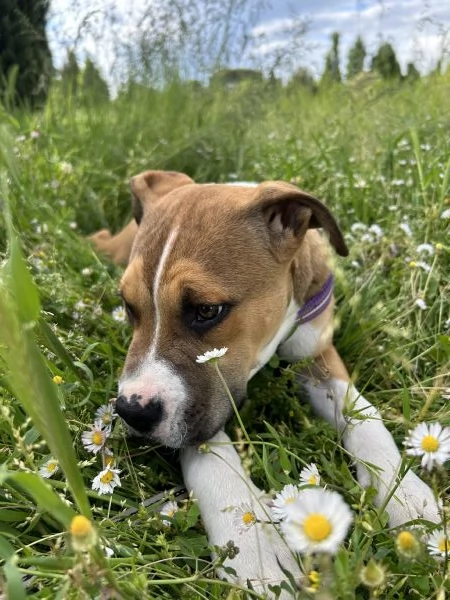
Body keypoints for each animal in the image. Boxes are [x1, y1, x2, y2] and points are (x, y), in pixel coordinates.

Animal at [90, 171, 440, 596]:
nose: (131, 411)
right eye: (128, 307)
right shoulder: (199, 408)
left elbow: (364, 415)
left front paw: (403, 490)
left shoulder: (318, 355)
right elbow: (210, 452)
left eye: (207, 310)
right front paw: (251, 539)